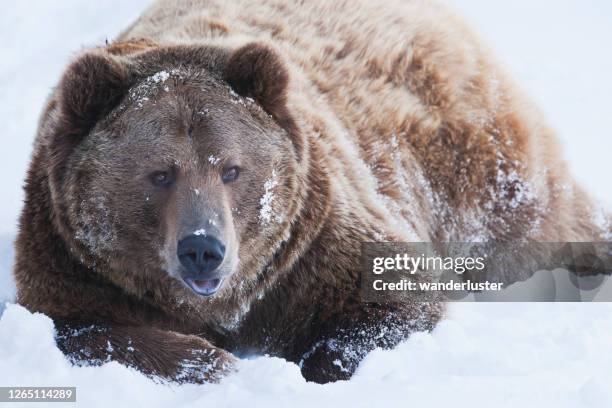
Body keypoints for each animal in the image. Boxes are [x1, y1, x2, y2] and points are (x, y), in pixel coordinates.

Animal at [11, 0, 608, 384]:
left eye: (231, 169)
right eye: (161, 173)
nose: (203, 248)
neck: (227, 304)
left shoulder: (310, 248)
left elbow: (392, 300)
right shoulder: (70, 260)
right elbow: (81, 327)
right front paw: (210, 363)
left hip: (471, 165)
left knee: (539, 222)